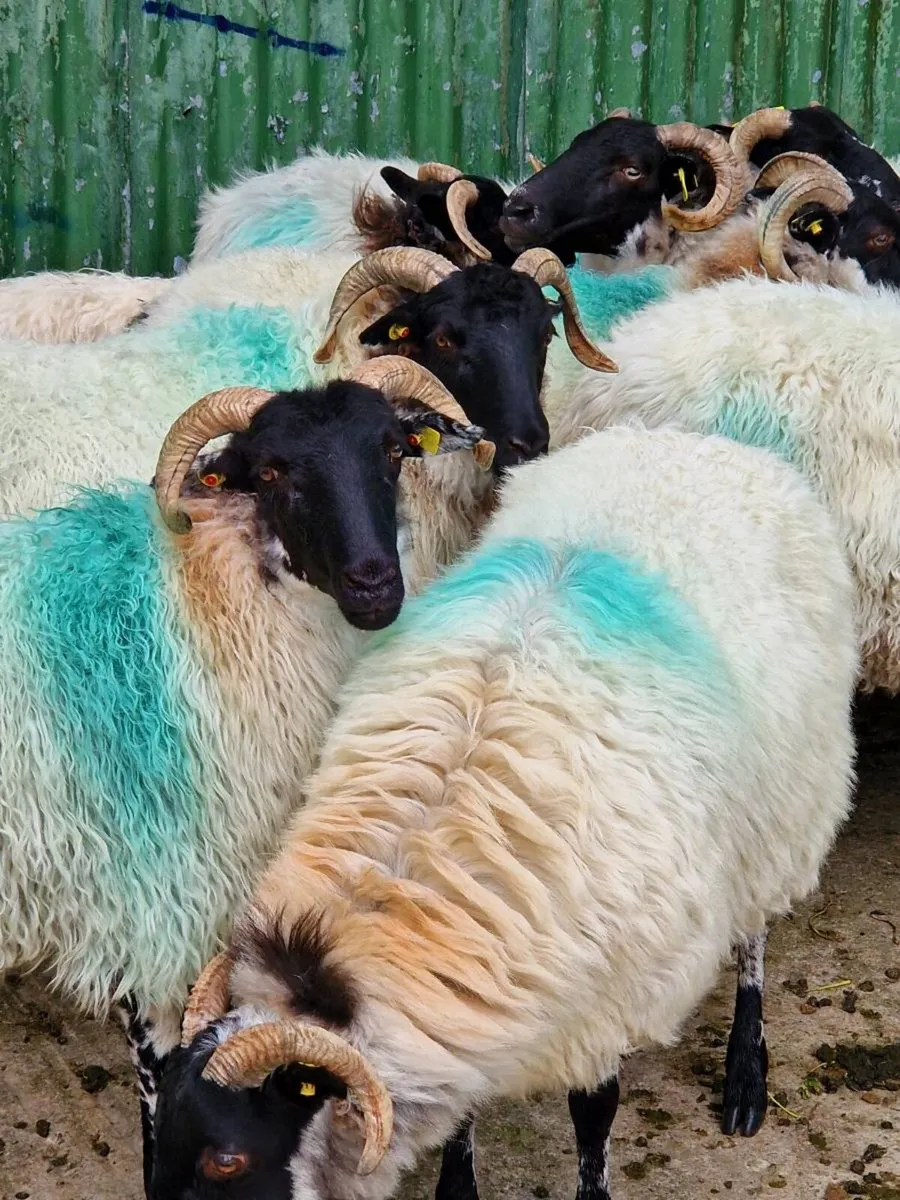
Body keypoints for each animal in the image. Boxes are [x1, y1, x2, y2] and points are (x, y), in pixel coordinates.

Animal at [0, 356, 500, 1192]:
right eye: (270, 472)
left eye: (393, 451)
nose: (375, 585)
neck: (204, 610)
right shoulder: (154, 913)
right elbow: (161, 1086)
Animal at [153, 423, 858, 1200]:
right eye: (162, 1135)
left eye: (227, 1159)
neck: (407, 881)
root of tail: (693, 440)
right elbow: (465, 1108)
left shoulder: (604, 1005)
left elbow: (594, 1114)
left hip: (785, 800)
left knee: (756, 930)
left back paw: (746, 1074)